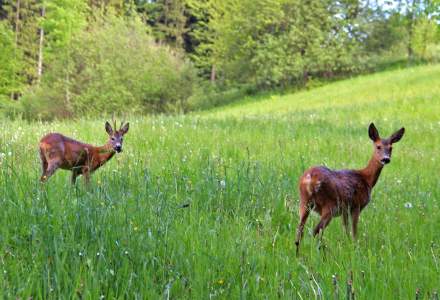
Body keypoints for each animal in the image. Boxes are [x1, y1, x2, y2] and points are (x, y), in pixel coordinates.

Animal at [294, 123, 404, 254]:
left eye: (391, 148)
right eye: (378, 147)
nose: (386, 159)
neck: (366, 178)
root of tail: (310, 178)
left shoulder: (344, 210)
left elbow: (345, 230)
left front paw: (346, 245)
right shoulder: (356, 205)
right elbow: (354, 231)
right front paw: (355, 248)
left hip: (304, 202)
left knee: (299, 232)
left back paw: (299, 255)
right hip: (329, 205)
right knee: (315, 231)